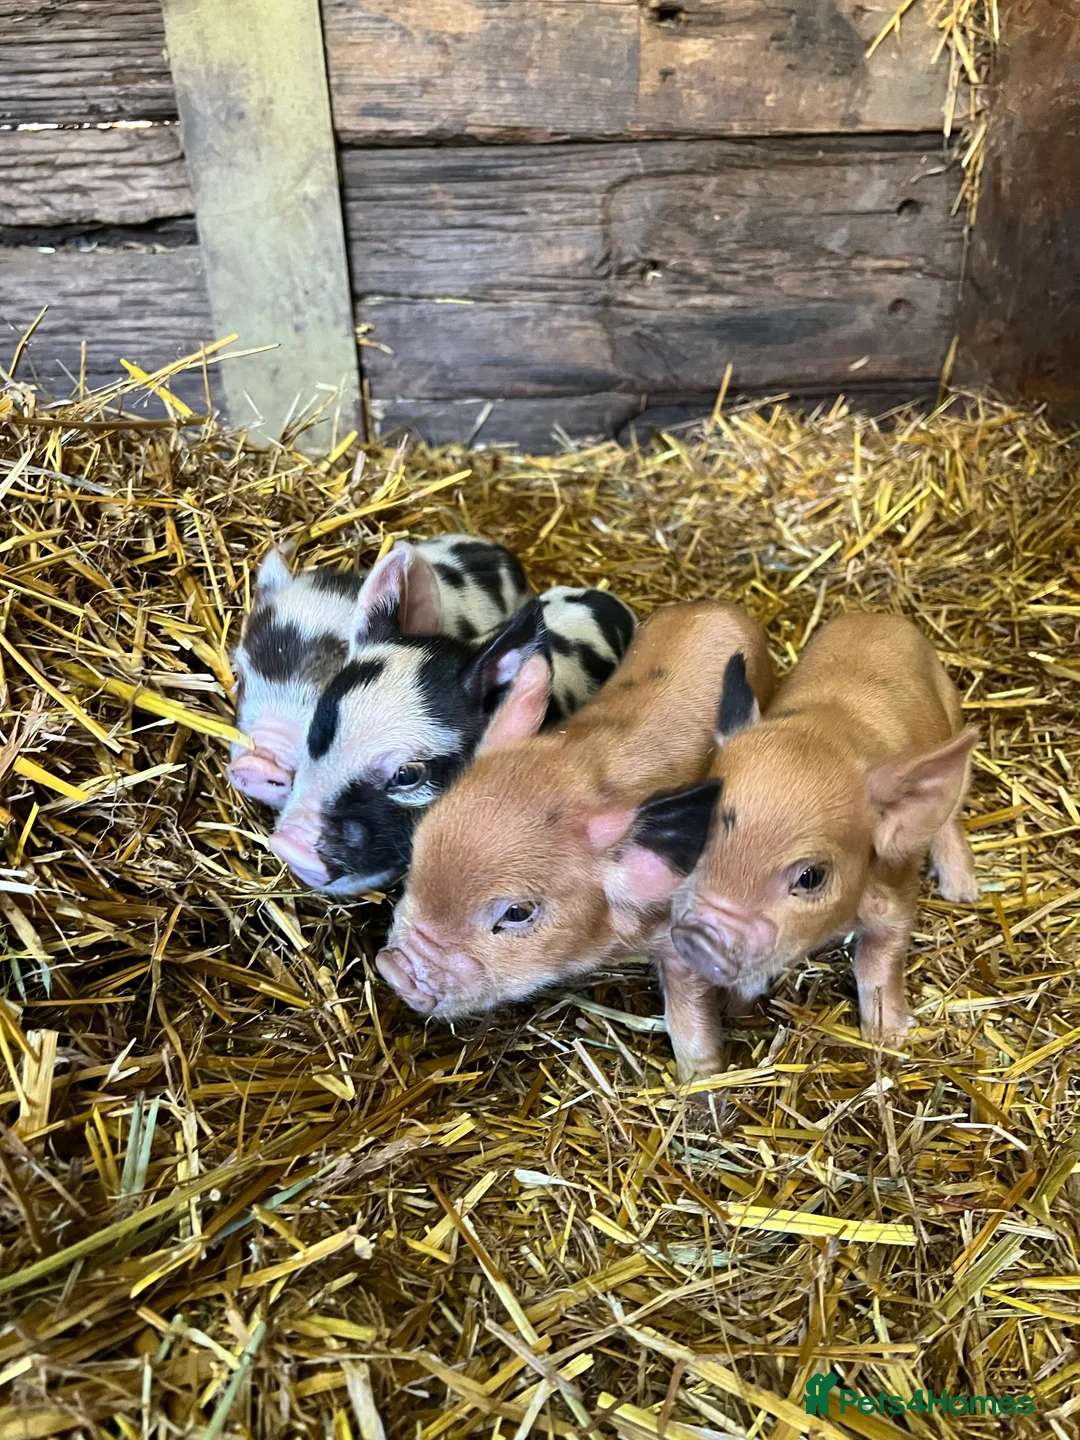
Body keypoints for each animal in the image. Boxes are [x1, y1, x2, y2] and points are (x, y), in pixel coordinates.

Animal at [376, 601, 775, 1082]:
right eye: (416, 853)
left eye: (517, 912)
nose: (394, 969)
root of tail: (719, 607)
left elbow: (688, 1010)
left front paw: (701, 1081)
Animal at [662, 611, 978, 1051]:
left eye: (812, 876)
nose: (697, 937)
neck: (827, 731)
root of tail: (881, 616)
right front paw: (730, 1009)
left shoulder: (897, 891)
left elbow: (880, 958)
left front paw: (890, 1039)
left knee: (949, 815)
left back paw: (963, 893)